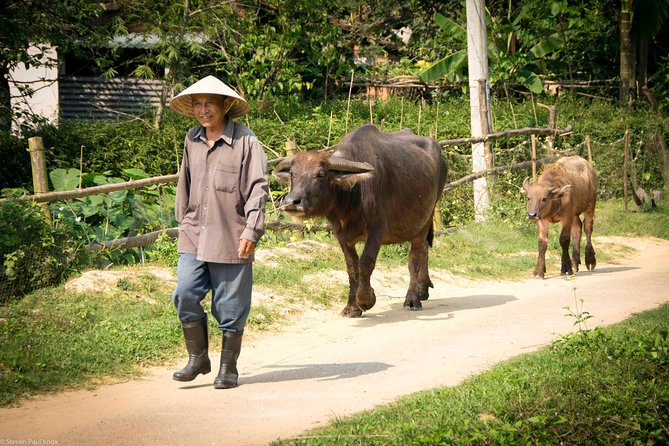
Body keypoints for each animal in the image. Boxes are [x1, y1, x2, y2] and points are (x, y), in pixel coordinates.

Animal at [272, 123, 448, 316]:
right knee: (423, 250)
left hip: (425, 220)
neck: (352, 197)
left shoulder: (377, 229)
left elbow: (365, 262)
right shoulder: (341, 234)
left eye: (321, 174)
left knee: (415, 257)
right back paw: (422, 290)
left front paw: (366, 299)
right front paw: (352, 306)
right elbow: (352, 267)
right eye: (292, 174)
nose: (292, 202)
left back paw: (412, 299)